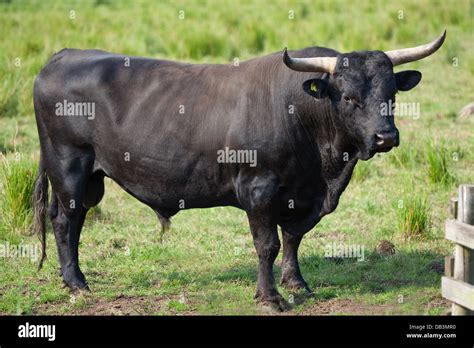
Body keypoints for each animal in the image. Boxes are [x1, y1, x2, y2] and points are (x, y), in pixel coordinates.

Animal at [32, 32, 444, 310]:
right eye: (347, 97)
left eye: (392, 94)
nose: (385, 136)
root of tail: (63, 56)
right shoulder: (259, 190)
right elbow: (268, 244)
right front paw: (270, 297)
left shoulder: (301, 196)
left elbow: (293, 238)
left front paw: (296, 283)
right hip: (69, 168)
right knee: (65, 222)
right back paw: (77, 283)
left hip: (87, 178)